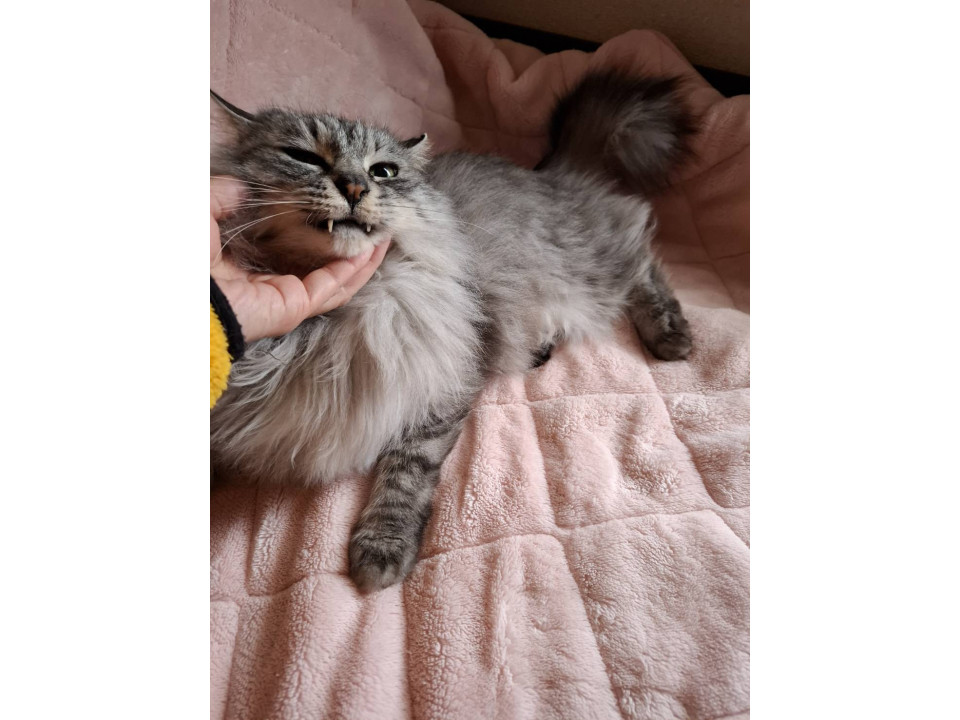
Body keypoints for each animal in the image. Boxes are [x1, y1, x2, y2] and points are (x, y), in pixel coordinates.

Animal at [210, 70, 695, 592]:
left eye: (383, 171)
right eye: (303, 157)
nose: (355, 187)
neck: (325, 330)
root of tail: (547, 173)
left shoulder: (444, 383)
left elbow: (405, 471)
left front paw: (382, 547)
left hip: (591, 269)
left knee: (643, 256)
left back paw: (671, 336)